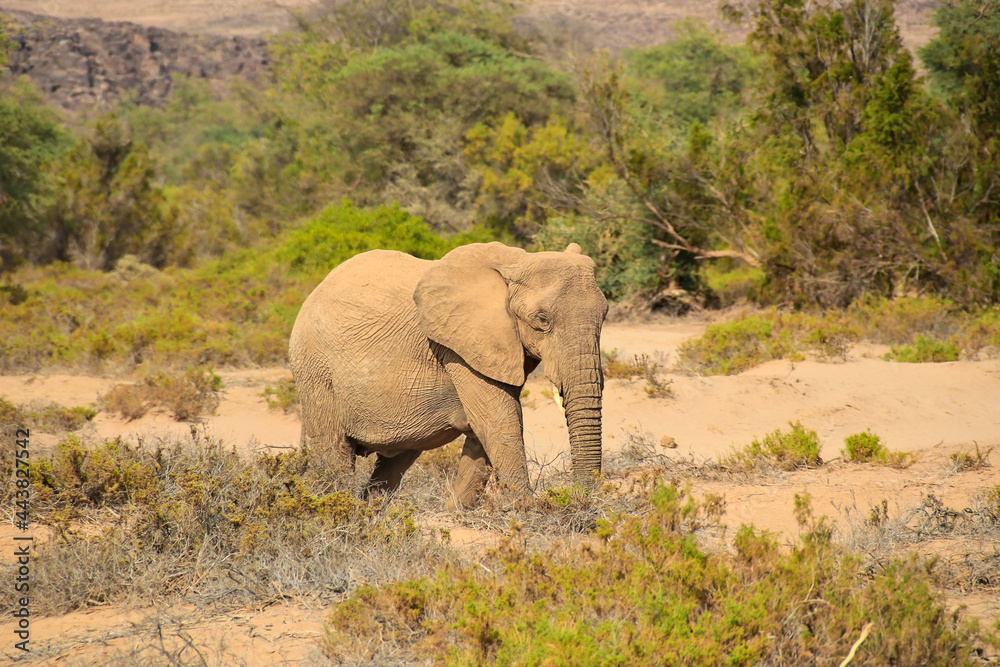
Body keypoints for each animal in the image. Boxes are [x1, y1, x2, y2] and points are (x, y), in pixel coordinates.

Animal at [286, 240, 604, 506]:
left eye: (605, 315)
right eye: (542, 319)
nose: (580, 496)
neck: (518, 261)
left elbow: (489, 421)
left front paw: (457, 512)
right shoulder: (457, 345)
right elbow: (499, 418)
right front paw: (527, 512)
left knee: (392, 466)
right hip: (315, 369)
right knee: (334, 454)